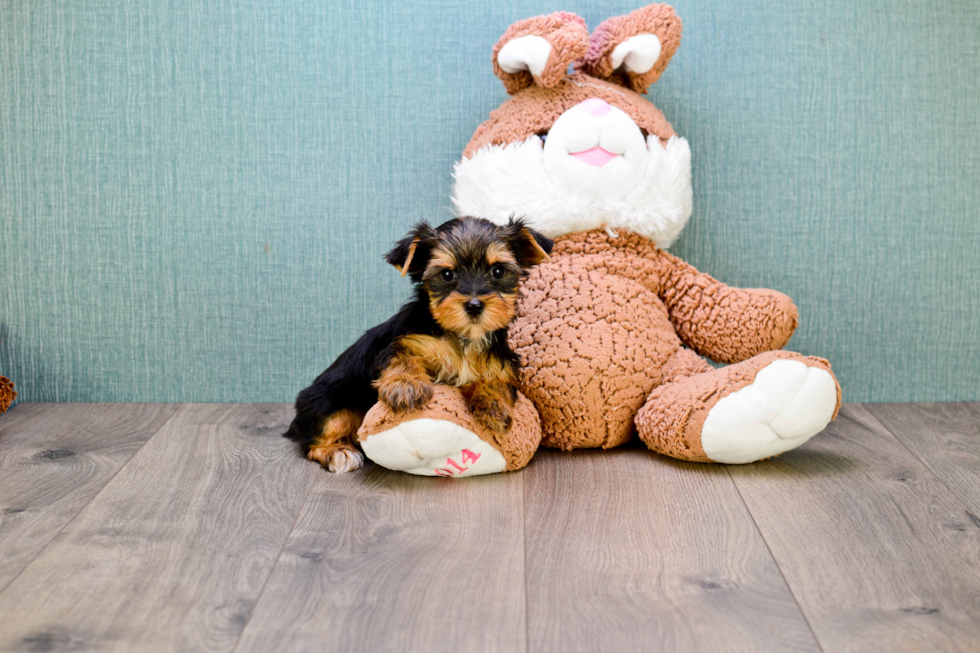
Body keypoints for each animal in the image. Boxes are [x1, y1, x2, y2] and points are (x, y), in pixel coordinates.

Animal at [288, 216, 556, 472]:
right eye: (447, 274)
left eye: (498, 271)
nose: (474, 305)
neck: (464, 337)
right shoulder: (404, 341)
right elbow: (402, 357)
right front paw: (406, 386)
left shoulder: (500, 361)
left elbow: (496, 379)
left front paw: (493, 405)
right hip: (329, 403)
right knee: (316, 437)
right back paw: (338, 453)